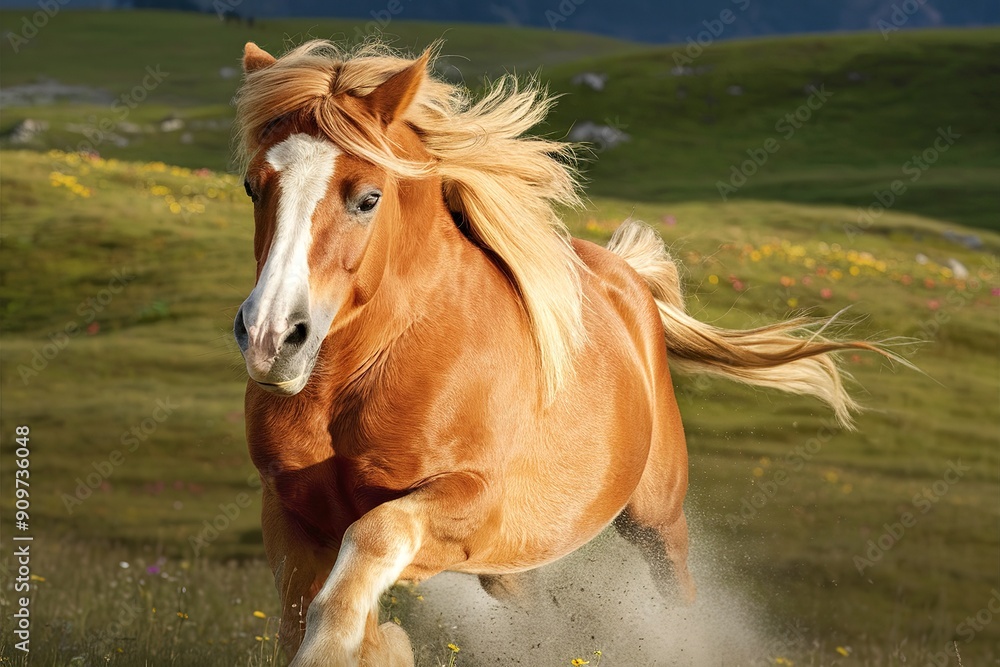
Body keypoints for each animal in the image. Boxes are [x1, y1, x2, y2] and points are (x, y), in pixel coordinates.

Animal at [232, 40, 889, 667]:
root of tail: (627, 278)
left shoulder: (473, 506)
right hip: (513, 564)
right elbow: (318, 610)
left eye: (367, 199)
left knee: (678, 592)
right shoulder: (292, 518)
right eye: (252, 186)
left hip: (654, 517)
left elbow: (373, 541)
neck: (370, 373)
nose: (271, 337)